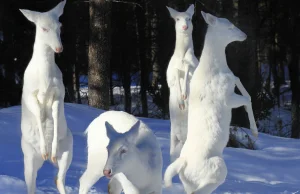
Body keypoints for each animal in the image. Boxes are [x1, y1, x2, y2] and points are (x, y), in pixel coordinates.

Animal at [19, 0, 73, 193]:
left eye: (60, 26)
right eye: (43, 28)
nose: (59, 48)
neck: (45, 79)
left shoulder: (59, 93)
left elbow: (55, 113)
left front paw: (52, 148)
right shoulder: (29, 94)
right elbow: (37, 113)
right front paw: (44, 148)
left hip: (69, 150)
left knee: (59, 178)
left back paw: (52, 156)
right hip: (28, 157)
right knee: (31, 183)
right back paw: (44, 153)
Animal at [163, 12, 258, 194]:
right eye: (230, 26)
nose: (244, 35)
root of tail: (183, 164)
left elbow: (239, 80)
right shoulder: (227, 98)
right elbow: (247, 99)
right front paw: (255, 132)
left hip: (189, 182)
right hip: (218, 170)